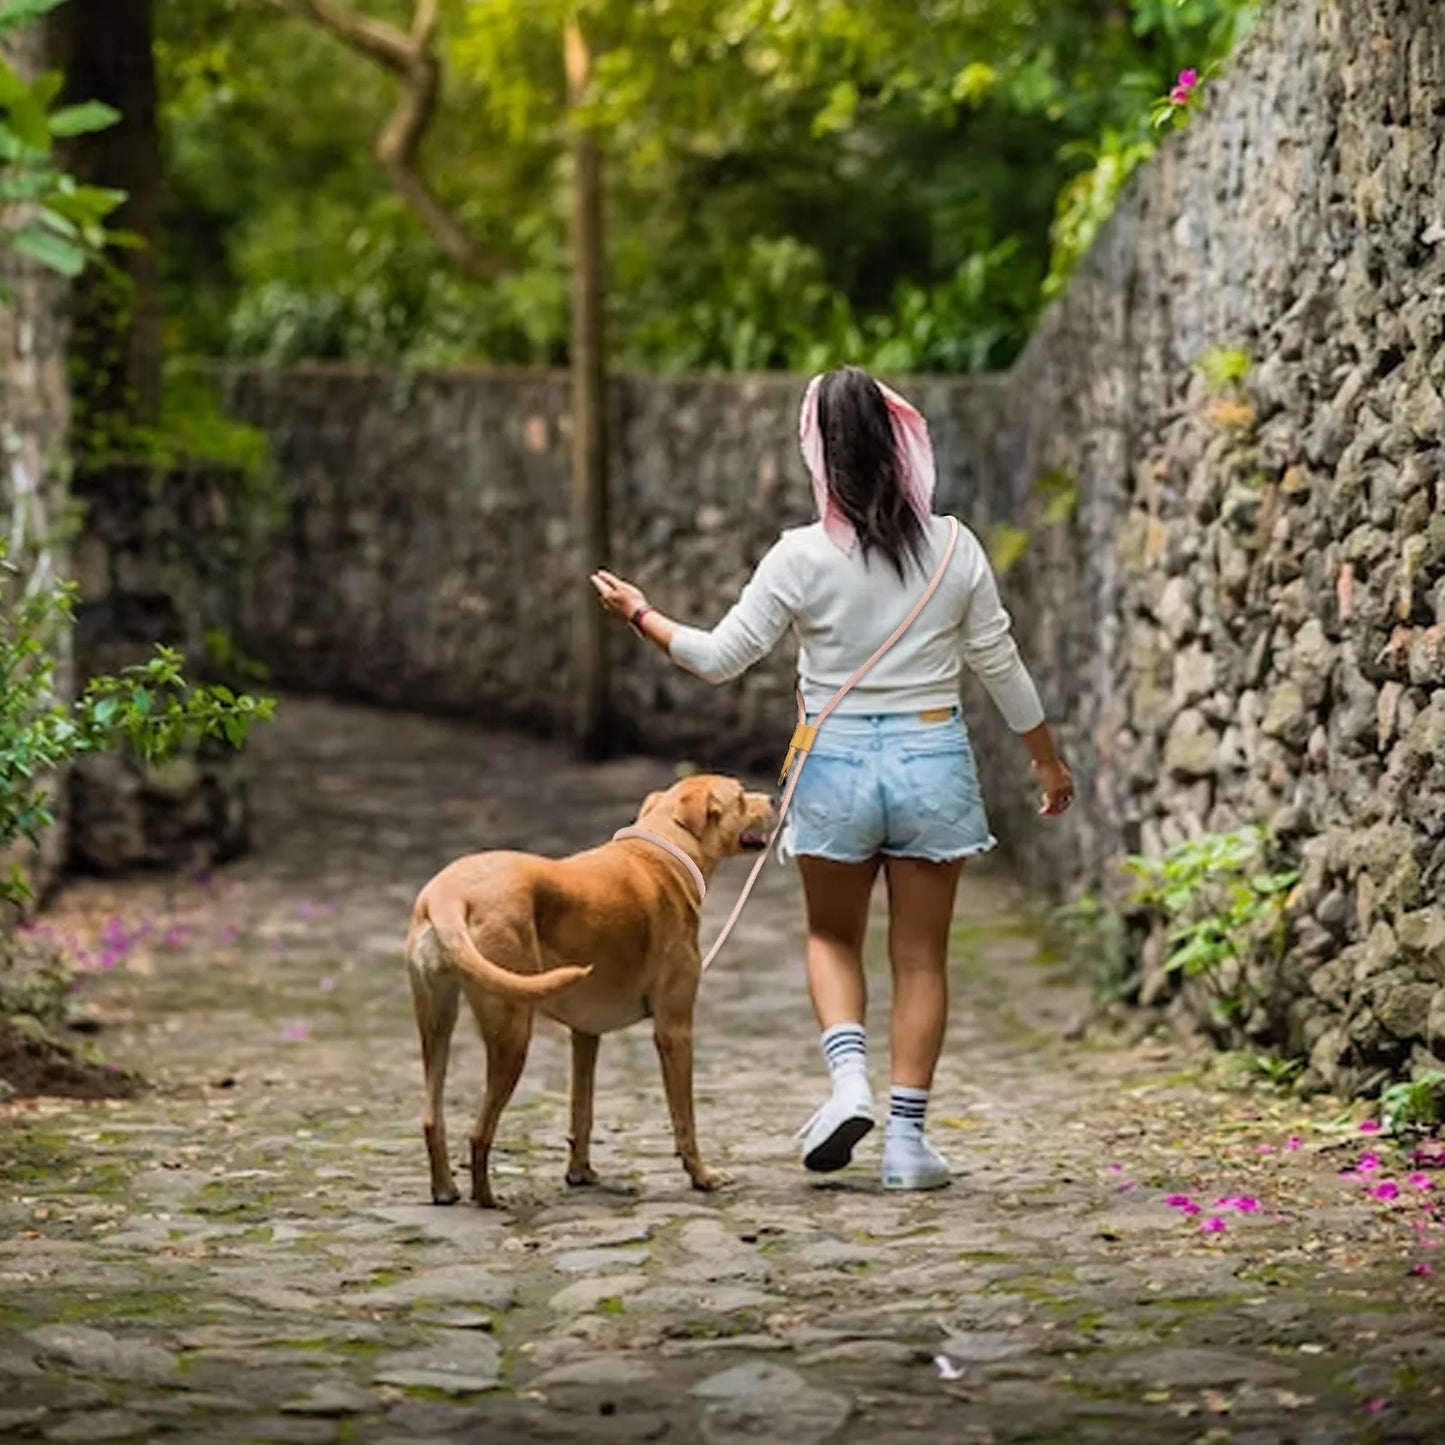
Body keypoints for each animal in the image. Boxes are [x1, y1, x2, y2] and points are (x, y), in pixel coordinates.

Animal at [401, 780, 774, 1208]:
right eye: (741, 796)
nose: (775, 798)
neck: (664, 850)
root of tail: (445, 895)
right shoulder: (674, 1031)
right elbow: (685, 1119)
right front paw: (702, 1176)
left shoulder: (585, 1034)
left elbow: (582, 1112)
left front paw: (580, 1173)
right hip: (513, 1034)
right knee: (479, 1132)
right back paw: (488, 1199)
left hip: (436, 1027)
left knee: (432, 1117)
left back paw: (445, 1189)